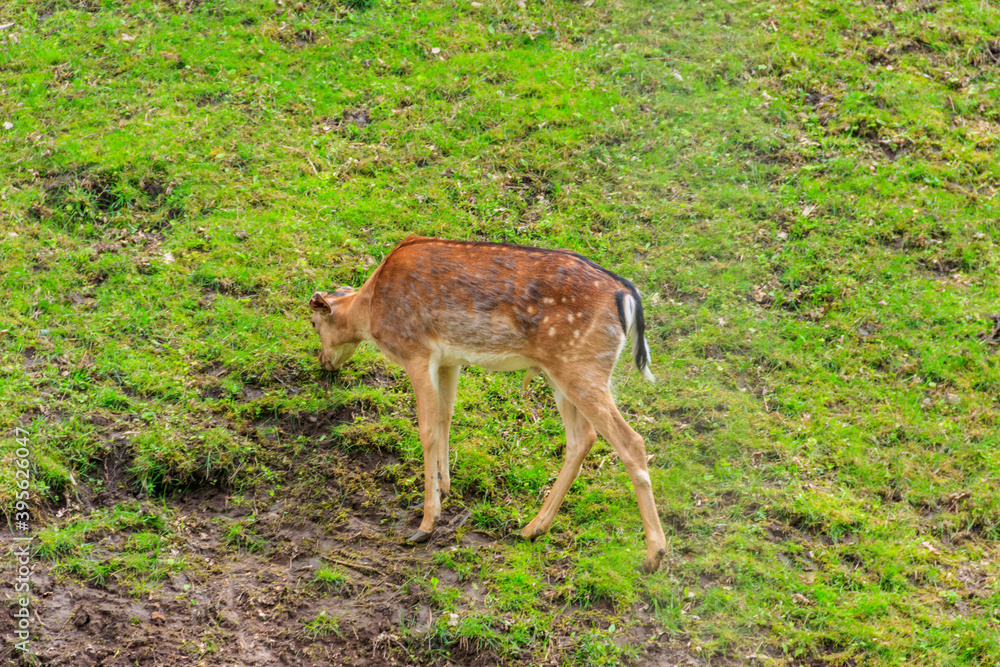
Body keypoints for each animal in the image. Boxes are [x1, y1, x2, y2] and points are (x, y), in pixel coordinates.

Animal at [309, 236, 667, 573]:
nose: (324, 362)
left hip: (583, 368)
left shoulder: (416, 352)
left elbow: (427, 431)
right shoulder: (449, 360)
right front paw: (444, 487)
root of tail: (627, 295)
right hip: (563, 373)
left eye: (314, 324)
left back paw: (654, 555)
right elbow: (446, 416)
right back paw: (533, 528)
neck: (371, 309)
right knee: (583, 439)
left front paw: (426, 524)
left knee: (631, 441)